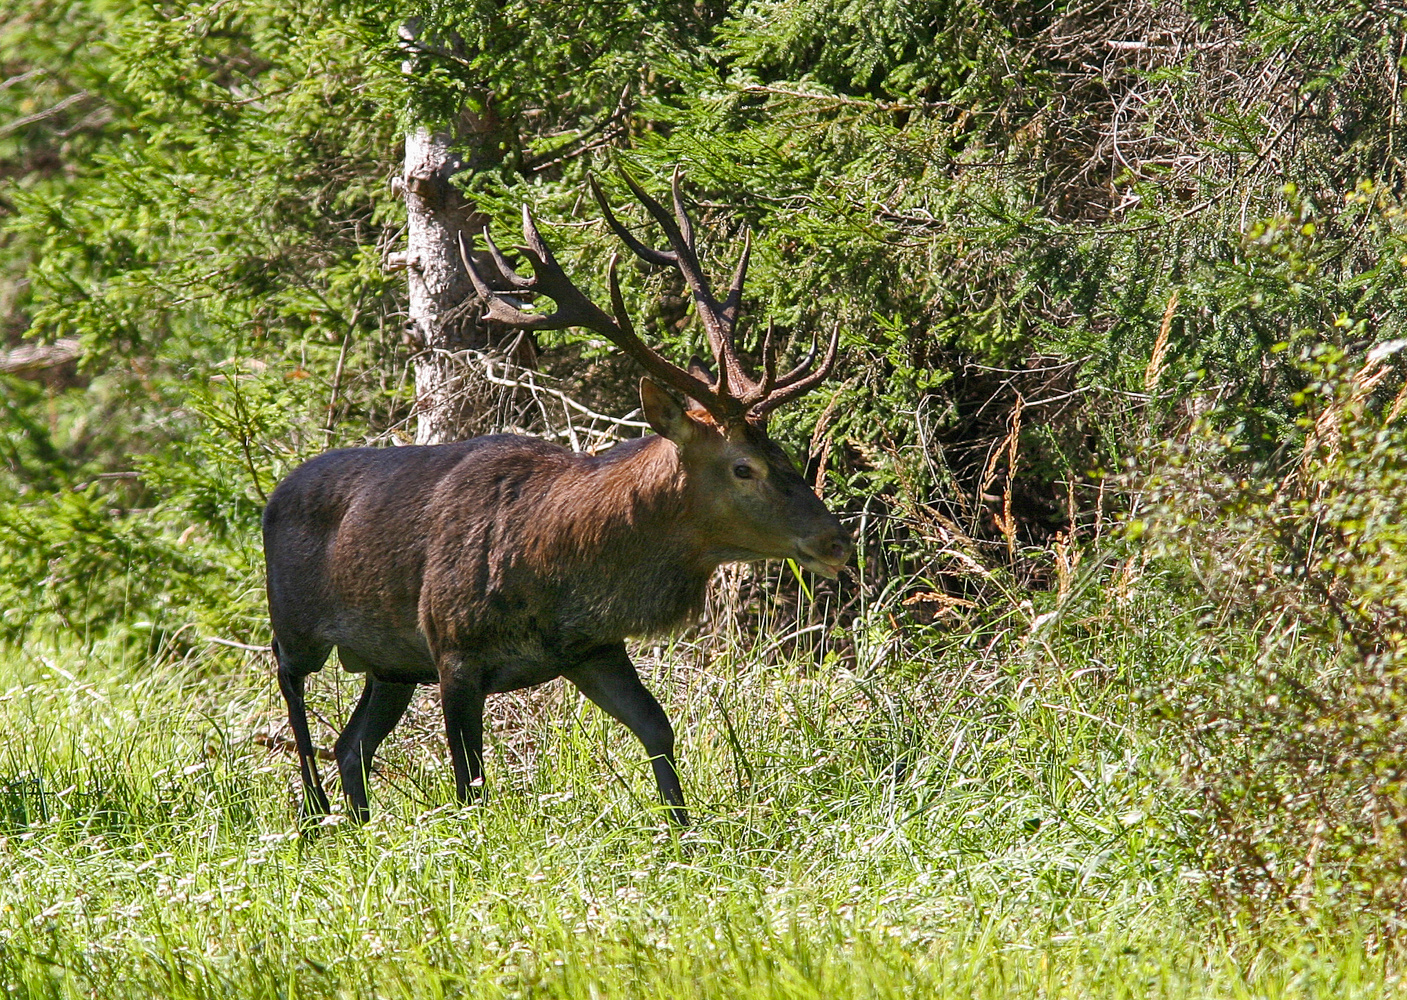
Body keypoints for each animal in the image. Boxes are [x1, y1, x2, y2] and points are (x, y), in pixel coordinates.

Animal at [264, 170, 849, 827]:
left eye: (785, 452)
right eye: (743, 467)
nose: (836, 541)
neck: (560, 573)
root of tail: (274, 496)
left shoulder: (591, 648)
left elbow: (658, 729)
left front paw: (681, 828)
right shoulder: (453, 647)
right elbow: (470, 784)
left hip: (390, 664)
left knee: (352, 746)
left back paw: (357, 826)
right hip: (297, 625)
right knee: (291, 691)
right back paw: (313, 812)